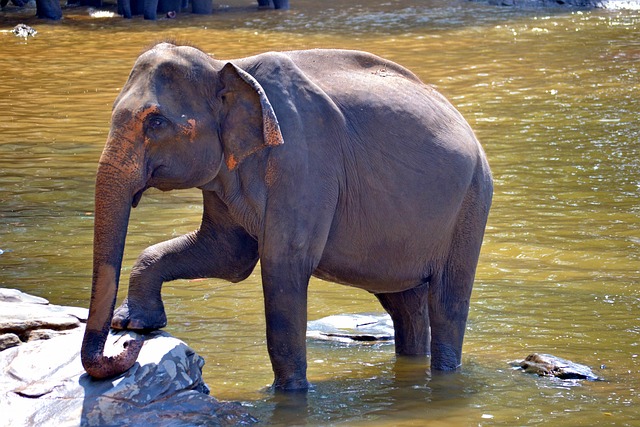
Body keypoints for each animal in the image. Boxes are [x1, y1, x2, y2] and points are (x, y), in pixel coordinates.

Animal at [79, 42, 490, 392]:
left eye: (156, 123)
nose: (125, 348)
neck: (227, 65)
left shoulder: (303, 161)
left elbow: (283, 265)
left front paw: (286, 394)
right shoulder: (226, 171)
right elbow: (226, 256)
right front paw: (134, 322)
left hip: (471, 204)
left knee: (447, 303)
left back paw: (445, 372)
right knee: (405, 304)